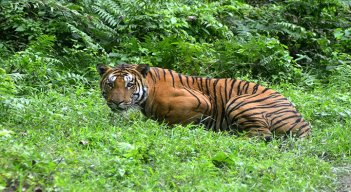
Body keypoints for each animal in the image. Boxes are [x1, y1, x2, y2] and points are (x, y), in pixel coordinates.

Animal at [96, 63, 310, 140]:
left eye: (130, 84)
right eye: (111, 84)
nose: (116, 103)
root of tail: (304, 123)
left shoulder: (202, 101)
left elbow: (173, 120)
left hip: (239, 101)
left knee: (261, 135)